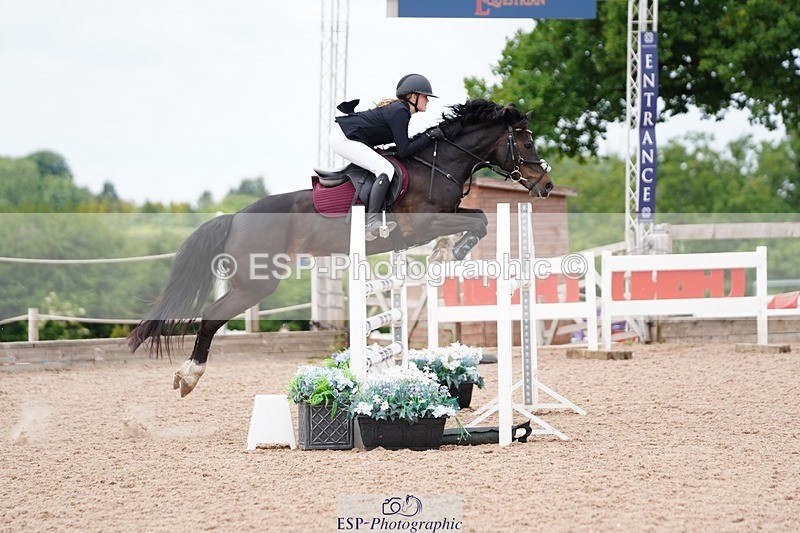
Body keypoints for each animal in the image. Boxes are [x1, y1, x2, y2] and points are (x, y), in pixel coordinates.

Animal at [127, 99, 554, 397]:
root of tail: (235, 217)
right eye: (526, 141)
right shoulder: (424, 224)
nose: (546, 185)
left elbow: (479, 216)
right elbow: (477, 221)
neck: (440, 163)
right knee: (211, 317)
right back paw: (189, 376)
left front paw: (449, 251)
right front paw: (452, 251)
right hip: (257, 284)